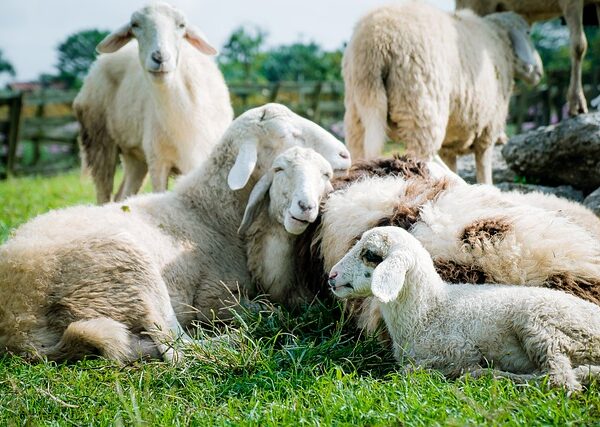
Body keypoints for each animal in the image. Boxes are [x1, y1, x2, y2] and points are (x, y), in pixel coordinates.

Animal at [0, 102, 352, 362]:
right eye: (289, 134)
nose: (346, 154)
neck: (207, 210)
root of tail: (17, 326)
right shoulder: (214, 296)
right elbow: (269, 311)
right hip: (128, 268)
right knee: (176, 348)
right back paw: (230, 342)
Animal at [72, 2, 232, 204]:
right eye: (135, 25)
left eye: (182, 25)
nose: (160, 57)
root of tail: (96, 64)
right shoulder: (158, 161)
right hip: (99, 140)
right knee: (104, 194)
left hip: (134, 155)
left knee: (123, 195)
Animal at [328, 227, 600, 392]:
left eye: (370, 254)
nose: (332, 276)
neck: (429, 310)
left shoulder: (459, 349)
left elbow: (411, 370)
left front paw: (461, 372)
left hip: (543, 324)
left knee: (560, 380)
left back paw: (492, 375)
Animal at [342, 2, 544, 184]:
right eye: (528, 33)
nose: (539, 72)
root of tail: (375, 42)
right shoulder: (488, 127)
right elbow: (484, 167)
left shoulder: (450, 143)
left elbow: (452, 162)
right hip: (420, 105)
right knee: (419, 155)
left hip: (359, 109)